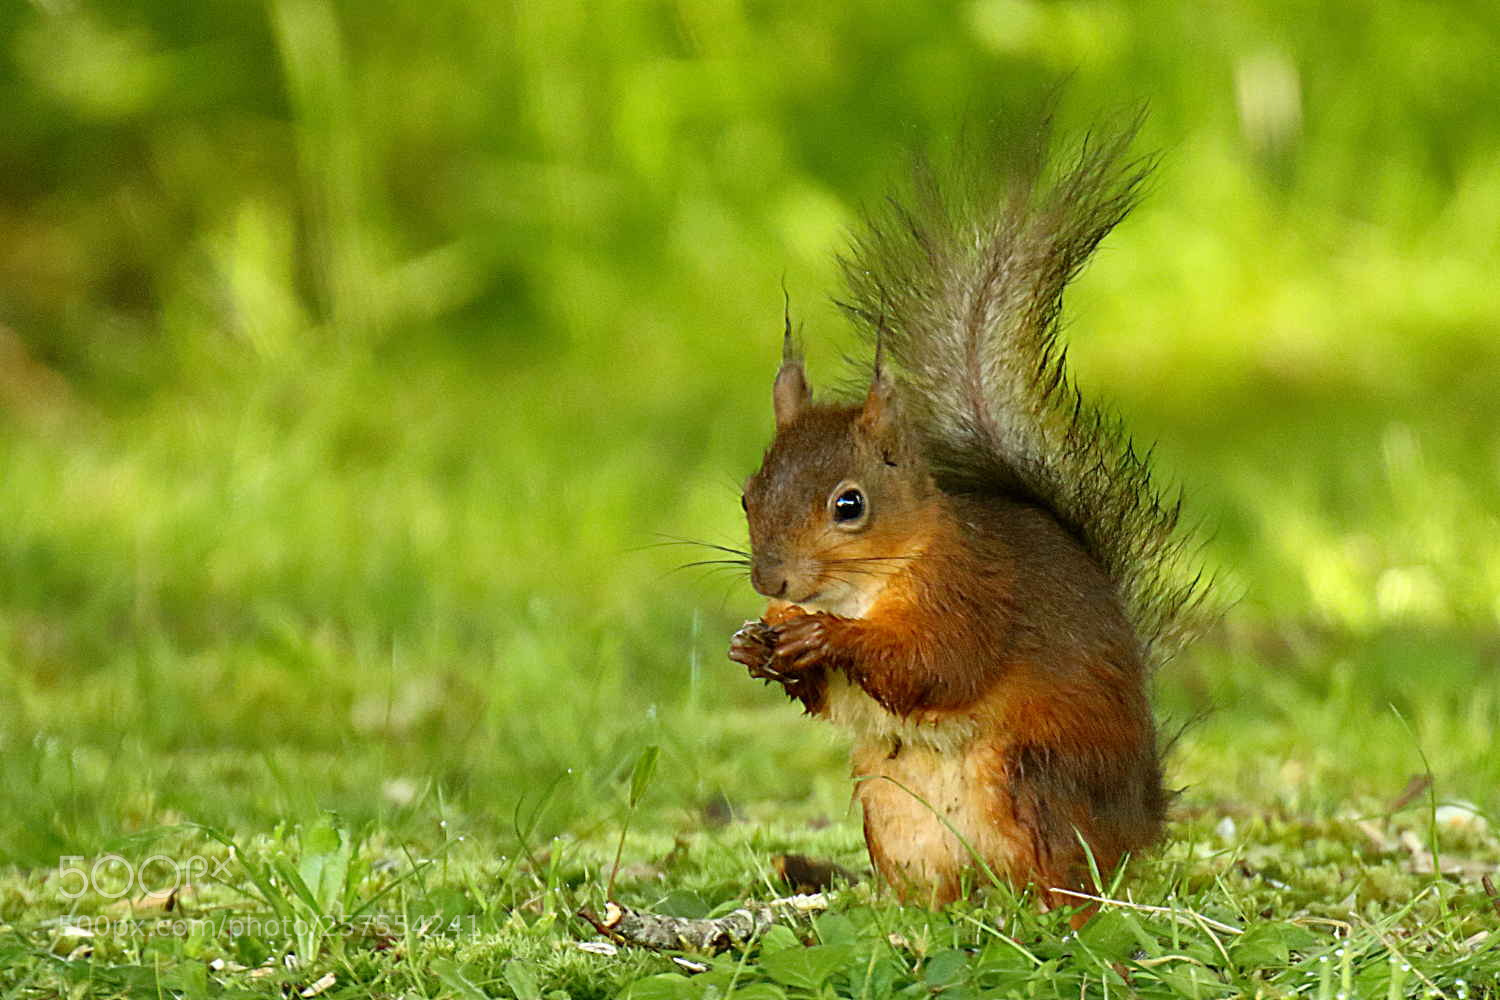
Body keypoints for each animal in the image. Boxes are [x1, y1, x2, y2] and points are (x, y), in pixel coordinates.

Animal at [727, 119, 1206, 922]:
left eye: (849, 504)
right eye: (746, 495)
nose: (772, 579)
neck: (865, 585)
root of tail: (1142, 819)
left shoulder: (974, 592)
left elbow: (937, 666)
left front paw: (825, 638)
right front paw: (753, 644)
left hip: (1039, 779)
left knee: (1073, 879)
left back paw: (1056, 917)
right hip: (892, 811)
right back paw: (905, 915)